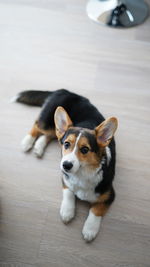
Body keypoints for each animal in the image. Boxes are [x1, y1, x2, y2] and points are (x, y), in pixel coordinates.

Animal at [12, 89, 118, 243]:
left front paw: (89, 230)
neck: (82, 174)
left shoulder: (110, 194)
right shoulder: (65, 179)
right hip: (49, 123)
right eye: (67, 144)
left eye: (85, 149)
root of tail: (62, 90)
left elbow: (96, 210)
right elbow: (68, 192)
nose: (66, 165)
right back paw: (27, 142)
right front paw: (67, 212)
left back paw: (38, 147)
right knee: (37, 125)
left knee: (49, 135)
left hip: (55, 131)